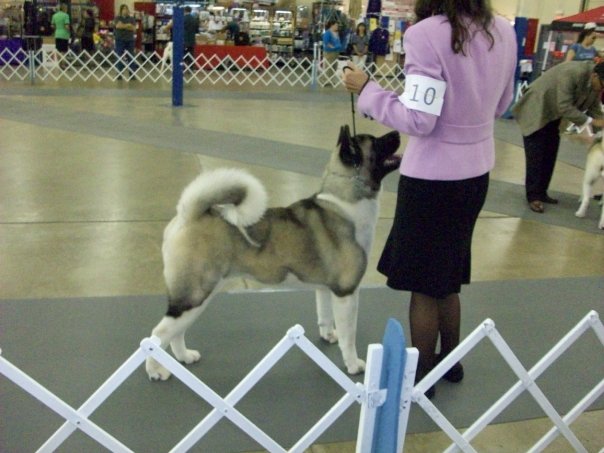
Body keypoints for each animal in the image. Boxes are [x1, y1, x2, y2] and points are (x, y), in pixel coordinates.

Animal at [146, 125, 402, 380]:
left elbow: (325, 316)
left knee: (176, 332)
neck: (345, 203)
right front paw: (353, 365)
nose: (398, 133)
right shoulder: (346, 293)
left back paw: (184, 357)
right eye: (376, 142)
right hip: (194, 295)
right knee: (157, 334)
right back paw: (155, 370)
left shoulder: (324, 288)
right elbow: (349, 336)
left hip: (199, 296)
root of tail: (188, 216)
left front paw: (328, 336)